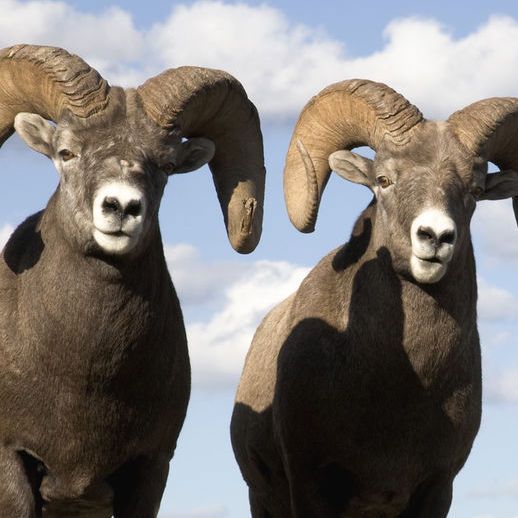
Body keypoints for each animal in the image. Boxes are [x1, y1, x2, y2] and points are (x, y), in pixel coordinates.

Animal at [231, 79, 518, 517]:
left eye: (474, 190)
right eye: (383, 180)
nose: (436, 237)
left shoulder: (437, 489)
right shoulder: (310, 484)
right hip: (262, 501)